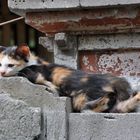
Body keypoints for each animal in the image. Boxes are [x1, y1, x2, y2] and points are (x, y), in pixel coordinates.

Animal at [0, 44, 140, 113]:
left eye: (10, 65)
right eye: (0, 64)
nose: (2, 72)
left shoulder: (37, 74)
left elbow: (43, 81)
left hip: (81, 97)